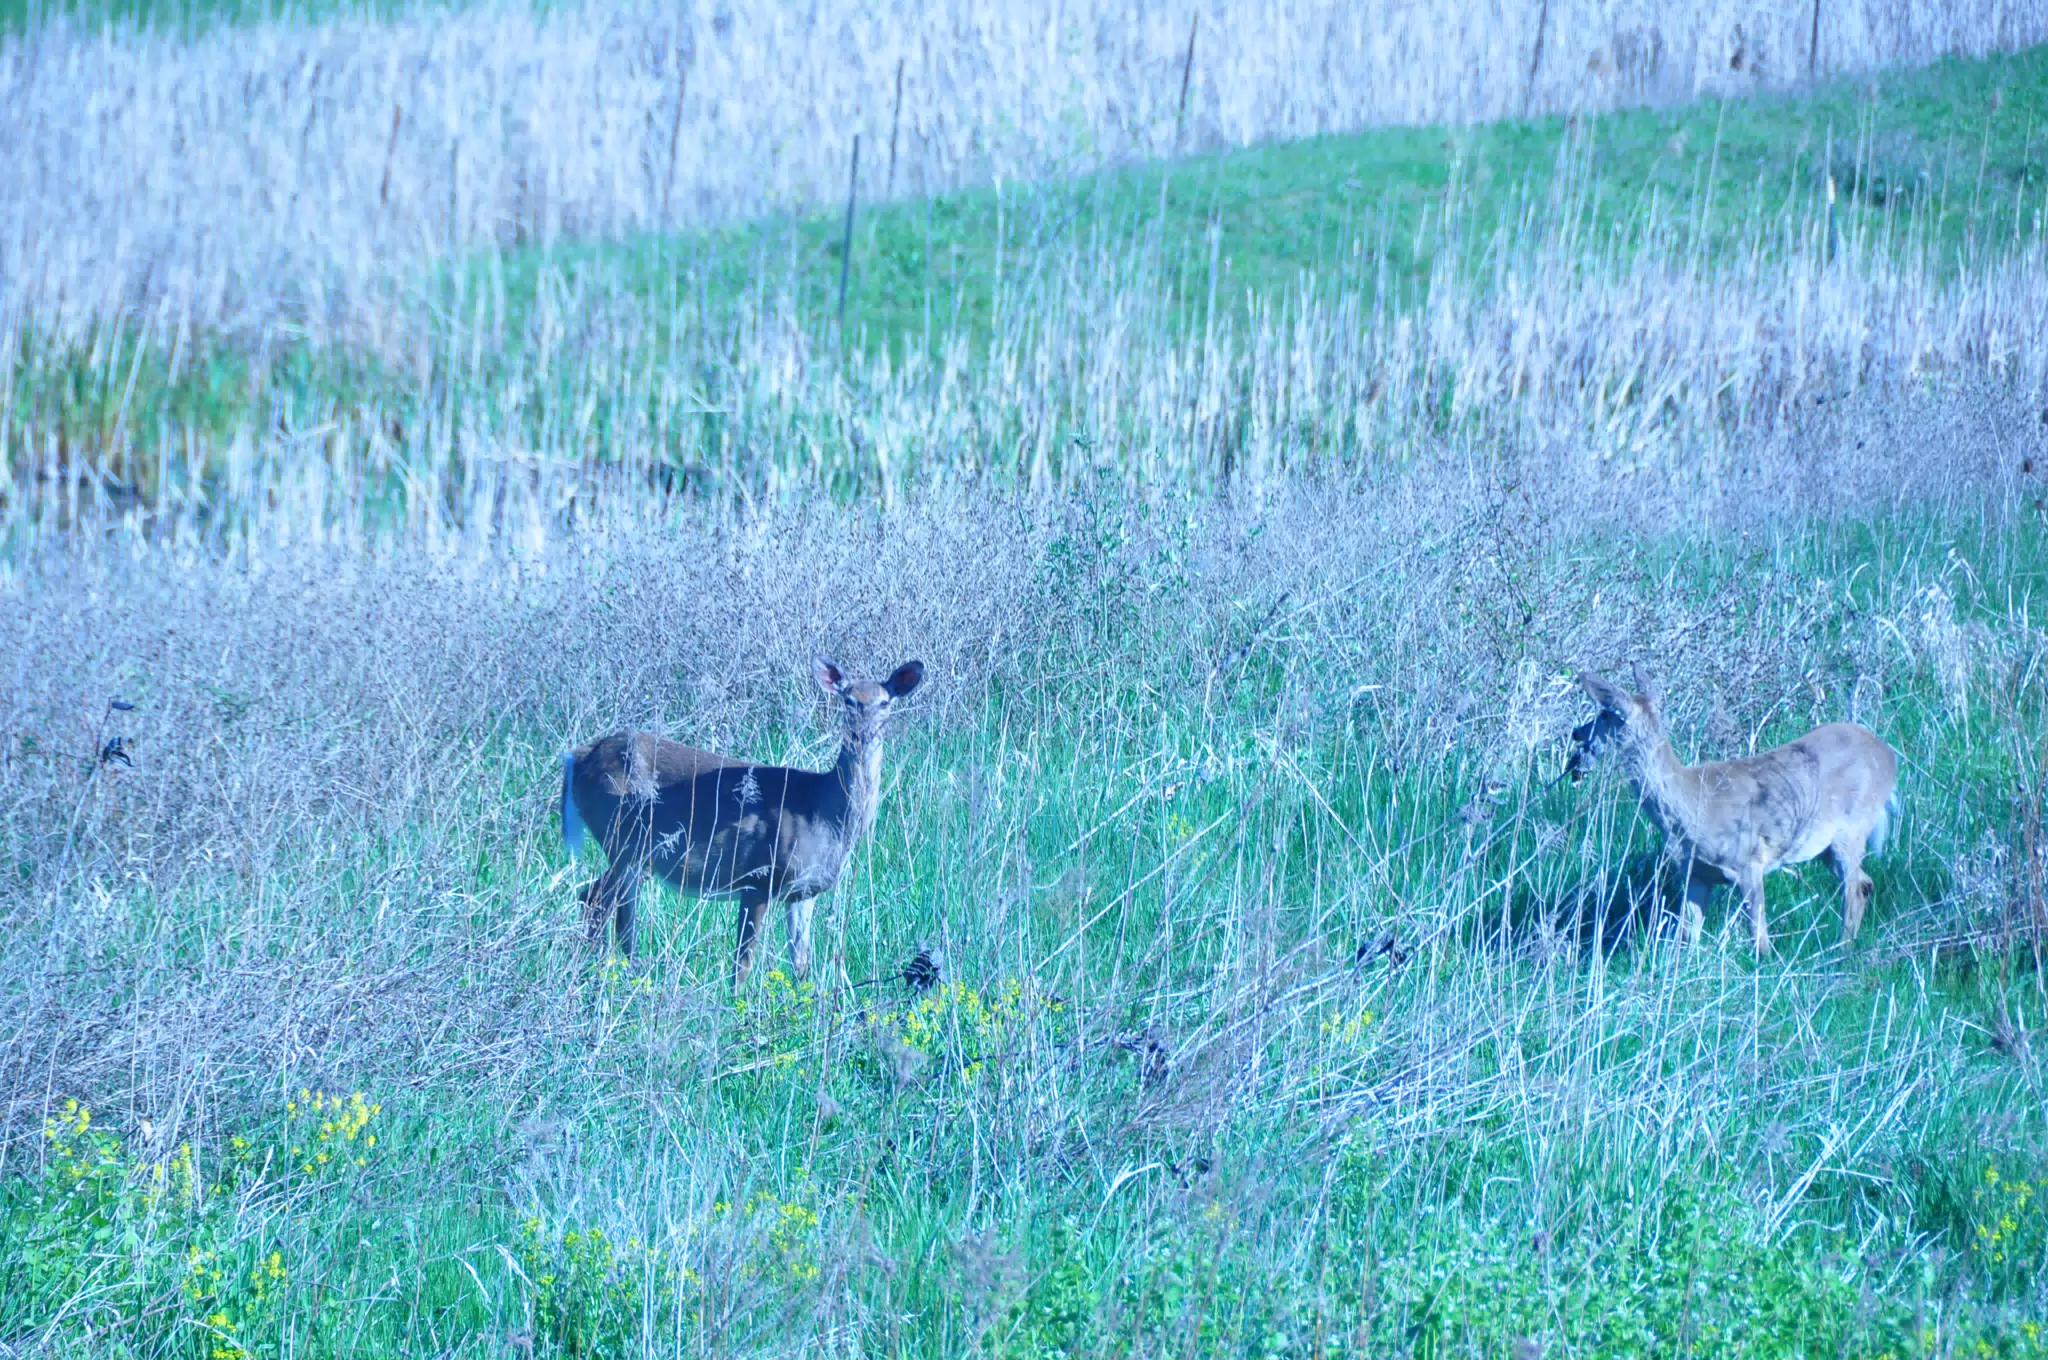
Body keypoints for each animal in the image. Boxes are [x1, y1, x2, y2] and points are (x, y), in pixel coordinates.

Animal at [562, 659, 925, 985]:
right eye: (848, 700)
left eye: (885, 702)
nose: (862, 733)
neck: (823, 812)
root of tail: (579, 757)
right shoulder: (757, 877)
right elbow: (743, 961)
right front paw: (738, 1006)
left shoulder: (803, 891)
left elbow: (801, 963)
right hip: (625, 840)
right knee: (597, 902)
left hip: (634, 852)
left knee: (609, 907)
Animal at [1568, 665, 1900, 955]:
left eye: (1604, 713)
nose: (1576, 732)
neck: (1690, 804)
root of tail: (1890, 756)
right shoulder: (1695, 873)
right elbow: (1688, 933)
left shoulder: (1748, 861)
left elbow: (1758, 934)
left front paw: (1763, 965)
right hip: (1823, 846)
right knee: (1865, 882)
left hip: (1853, 826)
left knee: (1853, 888)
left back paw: (1840, 950)